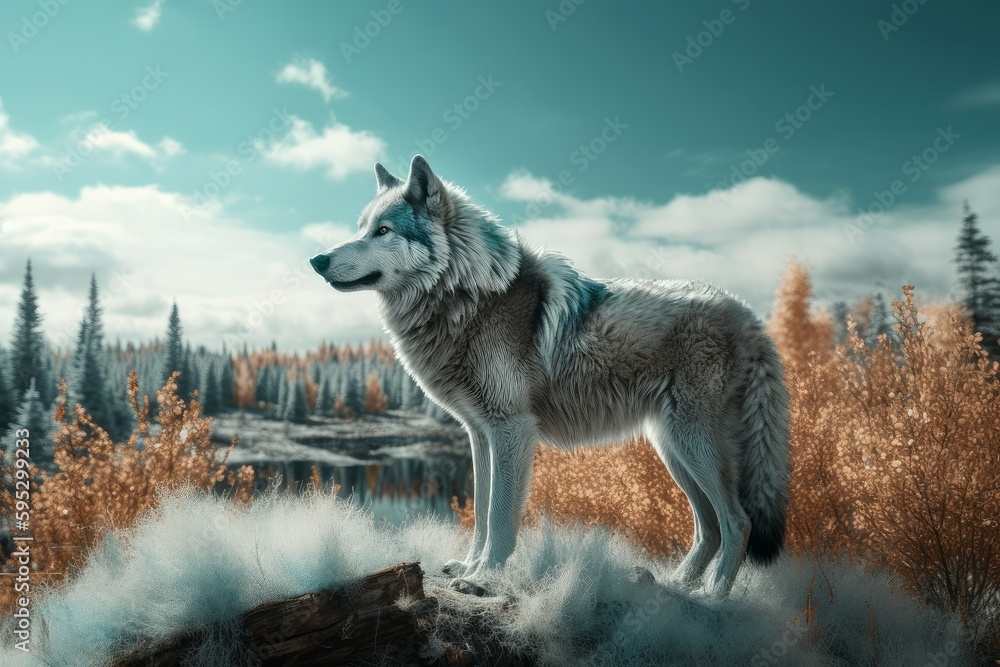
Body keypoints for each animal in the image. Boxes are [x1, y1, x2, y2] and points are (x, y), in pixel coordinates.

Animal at [309, 155, 790, 596]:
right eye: (360, 228)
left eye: (383, 231)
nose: (316, 259)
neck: (468, 297)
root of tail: (749, 316)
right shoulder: (479, 434)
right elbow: (481, 513)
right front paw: (469, 567)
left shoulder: (512, 427)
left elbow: (500, 518)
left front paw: (484, 578)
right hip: (673, 448)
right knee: (709, 527)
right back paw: (678, 586)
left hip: (693, 445)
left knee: (738, 521)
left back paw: (714, 598)